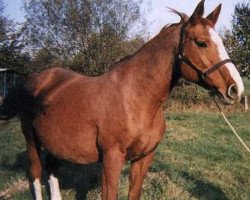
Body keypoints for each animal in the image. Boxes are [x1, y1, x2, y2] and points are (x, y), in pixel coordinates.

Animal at [0, 0, 243, 199]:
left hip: (52, 141)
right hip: (30, 137)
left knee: (52, 172)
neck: (136, 100)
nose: (236, 89)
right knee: (36, 173)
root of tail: (35, 79)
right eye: (201, 43)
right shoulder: (112, 159)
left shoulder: (144, 158)